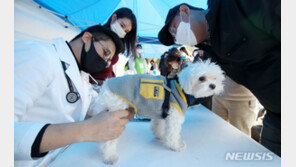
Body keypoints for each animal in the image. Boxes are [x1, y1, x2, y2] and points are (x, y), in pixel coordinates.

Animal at [90, 59, 224, 164]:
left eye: (215, 78)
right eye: (201, 78)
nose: (213, 86)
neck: (180, 89)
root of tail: (106, 84)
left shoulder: (161, 111)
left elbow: (157, 125)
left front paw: (160, 135)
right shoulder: (174, 114)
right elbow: (173, 134)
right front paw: (176, 146)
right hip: (116, 115)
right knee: (108, 141)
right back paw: (110, 156)